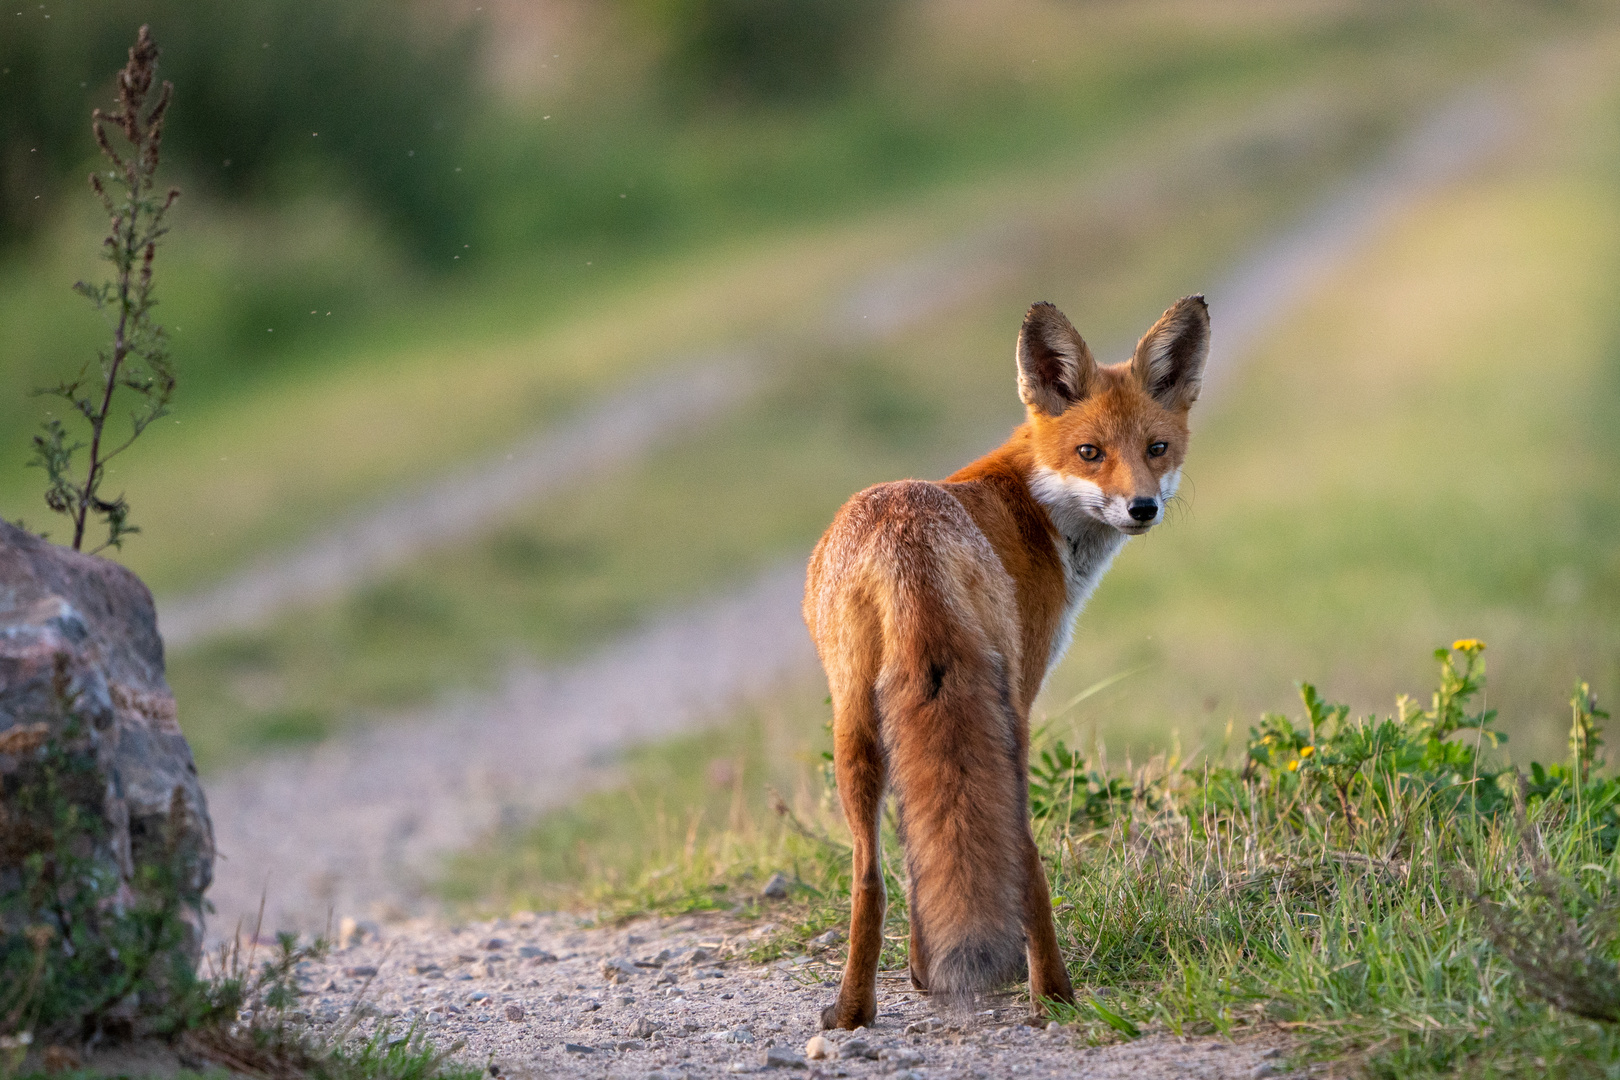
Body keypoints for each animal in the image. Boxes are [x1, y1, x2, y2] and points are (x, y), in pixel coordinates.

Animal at [803, 296, 1211, 1029]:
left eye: (1156, 448)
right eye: (1090, 453)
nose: (1142, 507)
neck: (1036, 508)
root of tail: (908, 541)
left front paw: (921, 972)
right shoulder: (1026, 683)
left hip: (854, 722)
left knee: (871, 873)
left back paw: (856, 1008)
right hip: (1004, 712)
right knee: (1021, 847)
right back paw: (1054, 993)